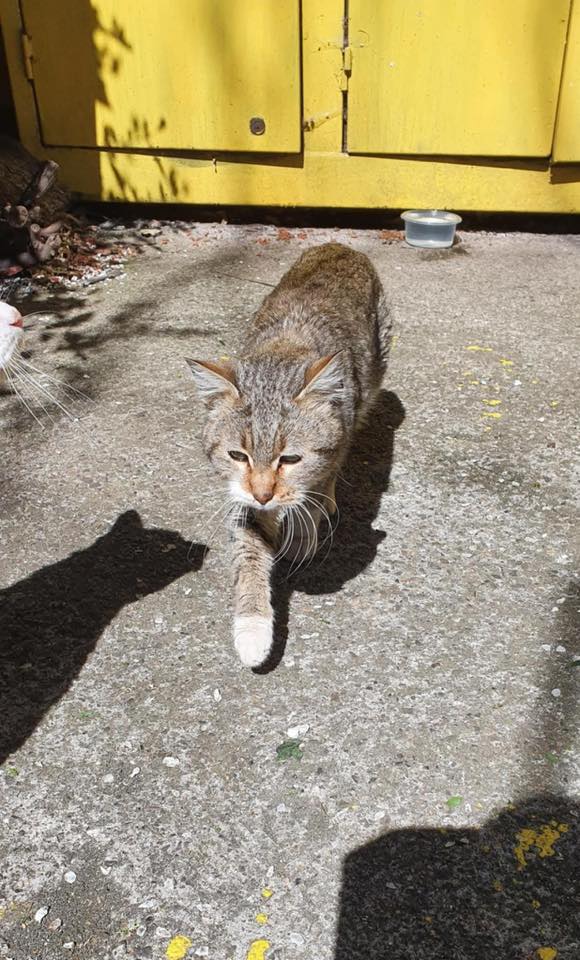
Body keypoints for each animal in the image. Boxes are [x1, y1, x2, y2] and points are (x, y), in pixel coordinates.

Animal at [187, 242, 392, 669]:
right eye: (238, 455)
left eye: (291, 460)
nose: (264, 494)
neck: (283, 349)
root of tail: (339, 245)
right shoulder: (242, 498)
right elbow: (248, 555)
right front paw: (252, 629)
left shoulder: (328, 451)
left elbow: (312, 492)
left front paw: (303, 531)